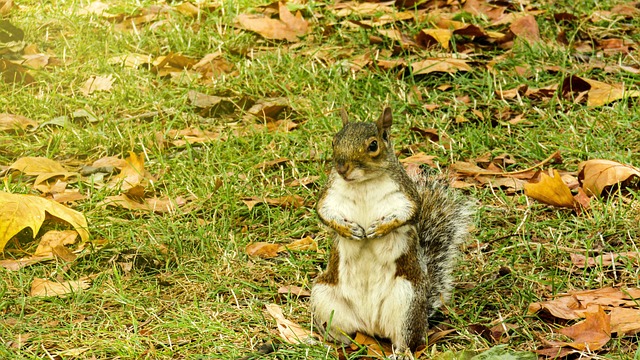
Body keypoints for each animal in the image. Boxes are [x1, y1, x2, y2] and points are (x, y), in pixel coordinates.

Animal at [310, 106, 470, 352]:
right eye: (334, 141)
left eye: (373, 145)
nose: (342, 168)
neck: (363, 183)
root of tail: (371, 326)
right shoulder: (331, 195)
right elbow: (324, 213)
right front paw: (348, 230)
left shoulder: (406, 195)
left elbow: (409, 213)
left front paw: (380, 228)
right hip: (324, 297)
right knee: (342, 332)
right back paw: (334, 344)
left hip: (407, 301)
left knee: (406, 339)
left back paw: (401, 352)